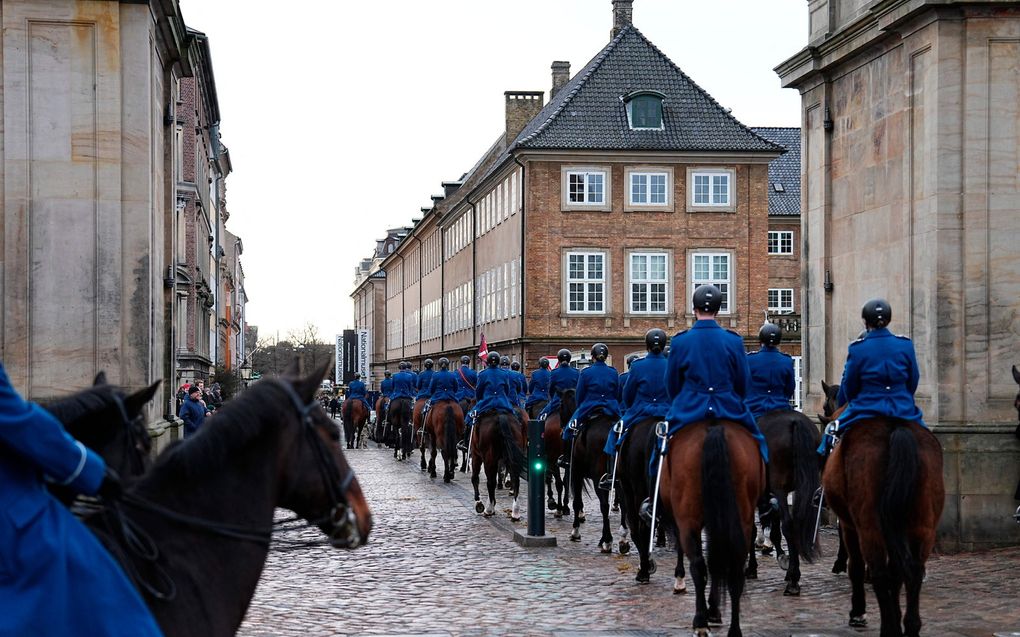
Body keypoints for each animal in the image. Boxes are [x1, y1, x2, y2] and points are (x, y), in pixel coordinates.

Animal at [656, 417, 762, 635]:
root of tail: (713, 426)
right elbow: (716, 563)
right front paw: (714, 610)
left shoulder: (683, 522)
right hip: (742, 519)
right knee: (733, 567)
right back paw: (734, 629)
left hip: (688, 520)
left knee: (698, 565)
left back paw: (700, 622)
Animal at [824, 417, 942, 635]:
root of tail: (895, 426)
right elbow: (896, 574)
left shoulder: (849, 527)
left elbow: (856, 567)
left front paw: (858, 613)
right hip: (923, 528)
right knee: (913, 571)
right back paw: (911, 626)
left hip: (869, 529)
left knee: (879, 573)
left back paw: (889, 628)